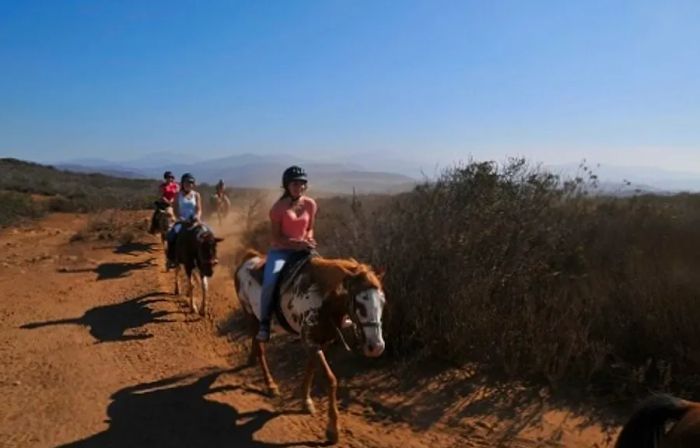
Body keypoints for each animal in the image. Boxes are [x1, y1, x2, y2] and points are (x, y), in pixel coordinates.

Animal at [235, 248, 388, 444]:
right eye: (359, 302)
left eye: (382, 302)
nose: (376, 347)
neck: (322, 298)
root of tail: (248, 259)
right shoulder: (310, 341)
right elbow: (330, 379)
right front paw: (332, 429)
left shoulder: (320, 342)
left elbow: (311, 368)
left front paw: (306, 401)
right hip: (250, 315)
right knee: (261, 349)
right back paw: (270, 385)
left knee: (256, 344)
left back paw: (251, 360)